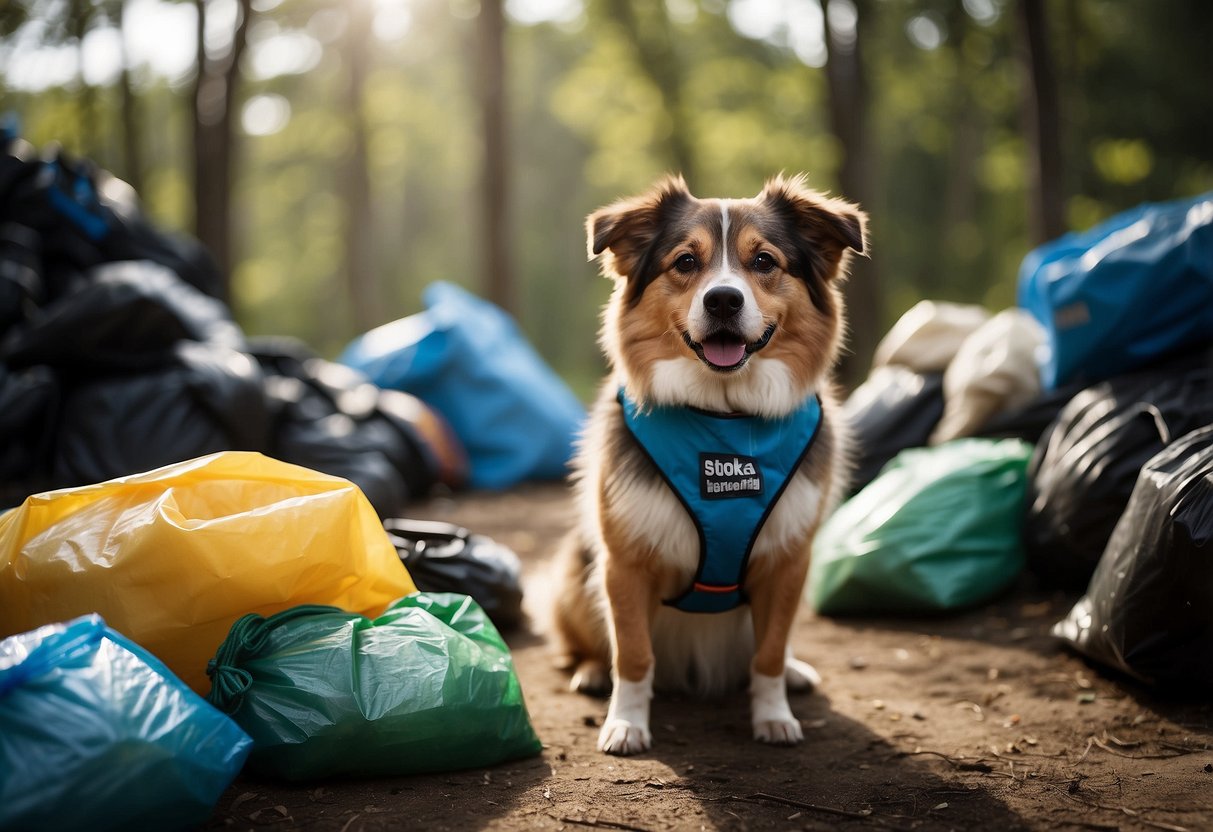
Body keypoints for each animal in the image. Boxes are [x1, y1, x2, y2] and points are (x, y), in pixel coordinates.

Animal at [550, 172, 863, 761]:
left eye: (763, 261)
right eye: (685, 262)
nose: (722, 300)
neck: (724, 417)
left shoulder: (789, 561)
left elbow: (767, 654)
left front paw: (774, 716)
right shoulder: (624, 563)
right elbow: (633, 654)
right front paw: (626, 724)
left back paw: (795, 672)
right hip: (578, 568)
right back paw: (592, 671)